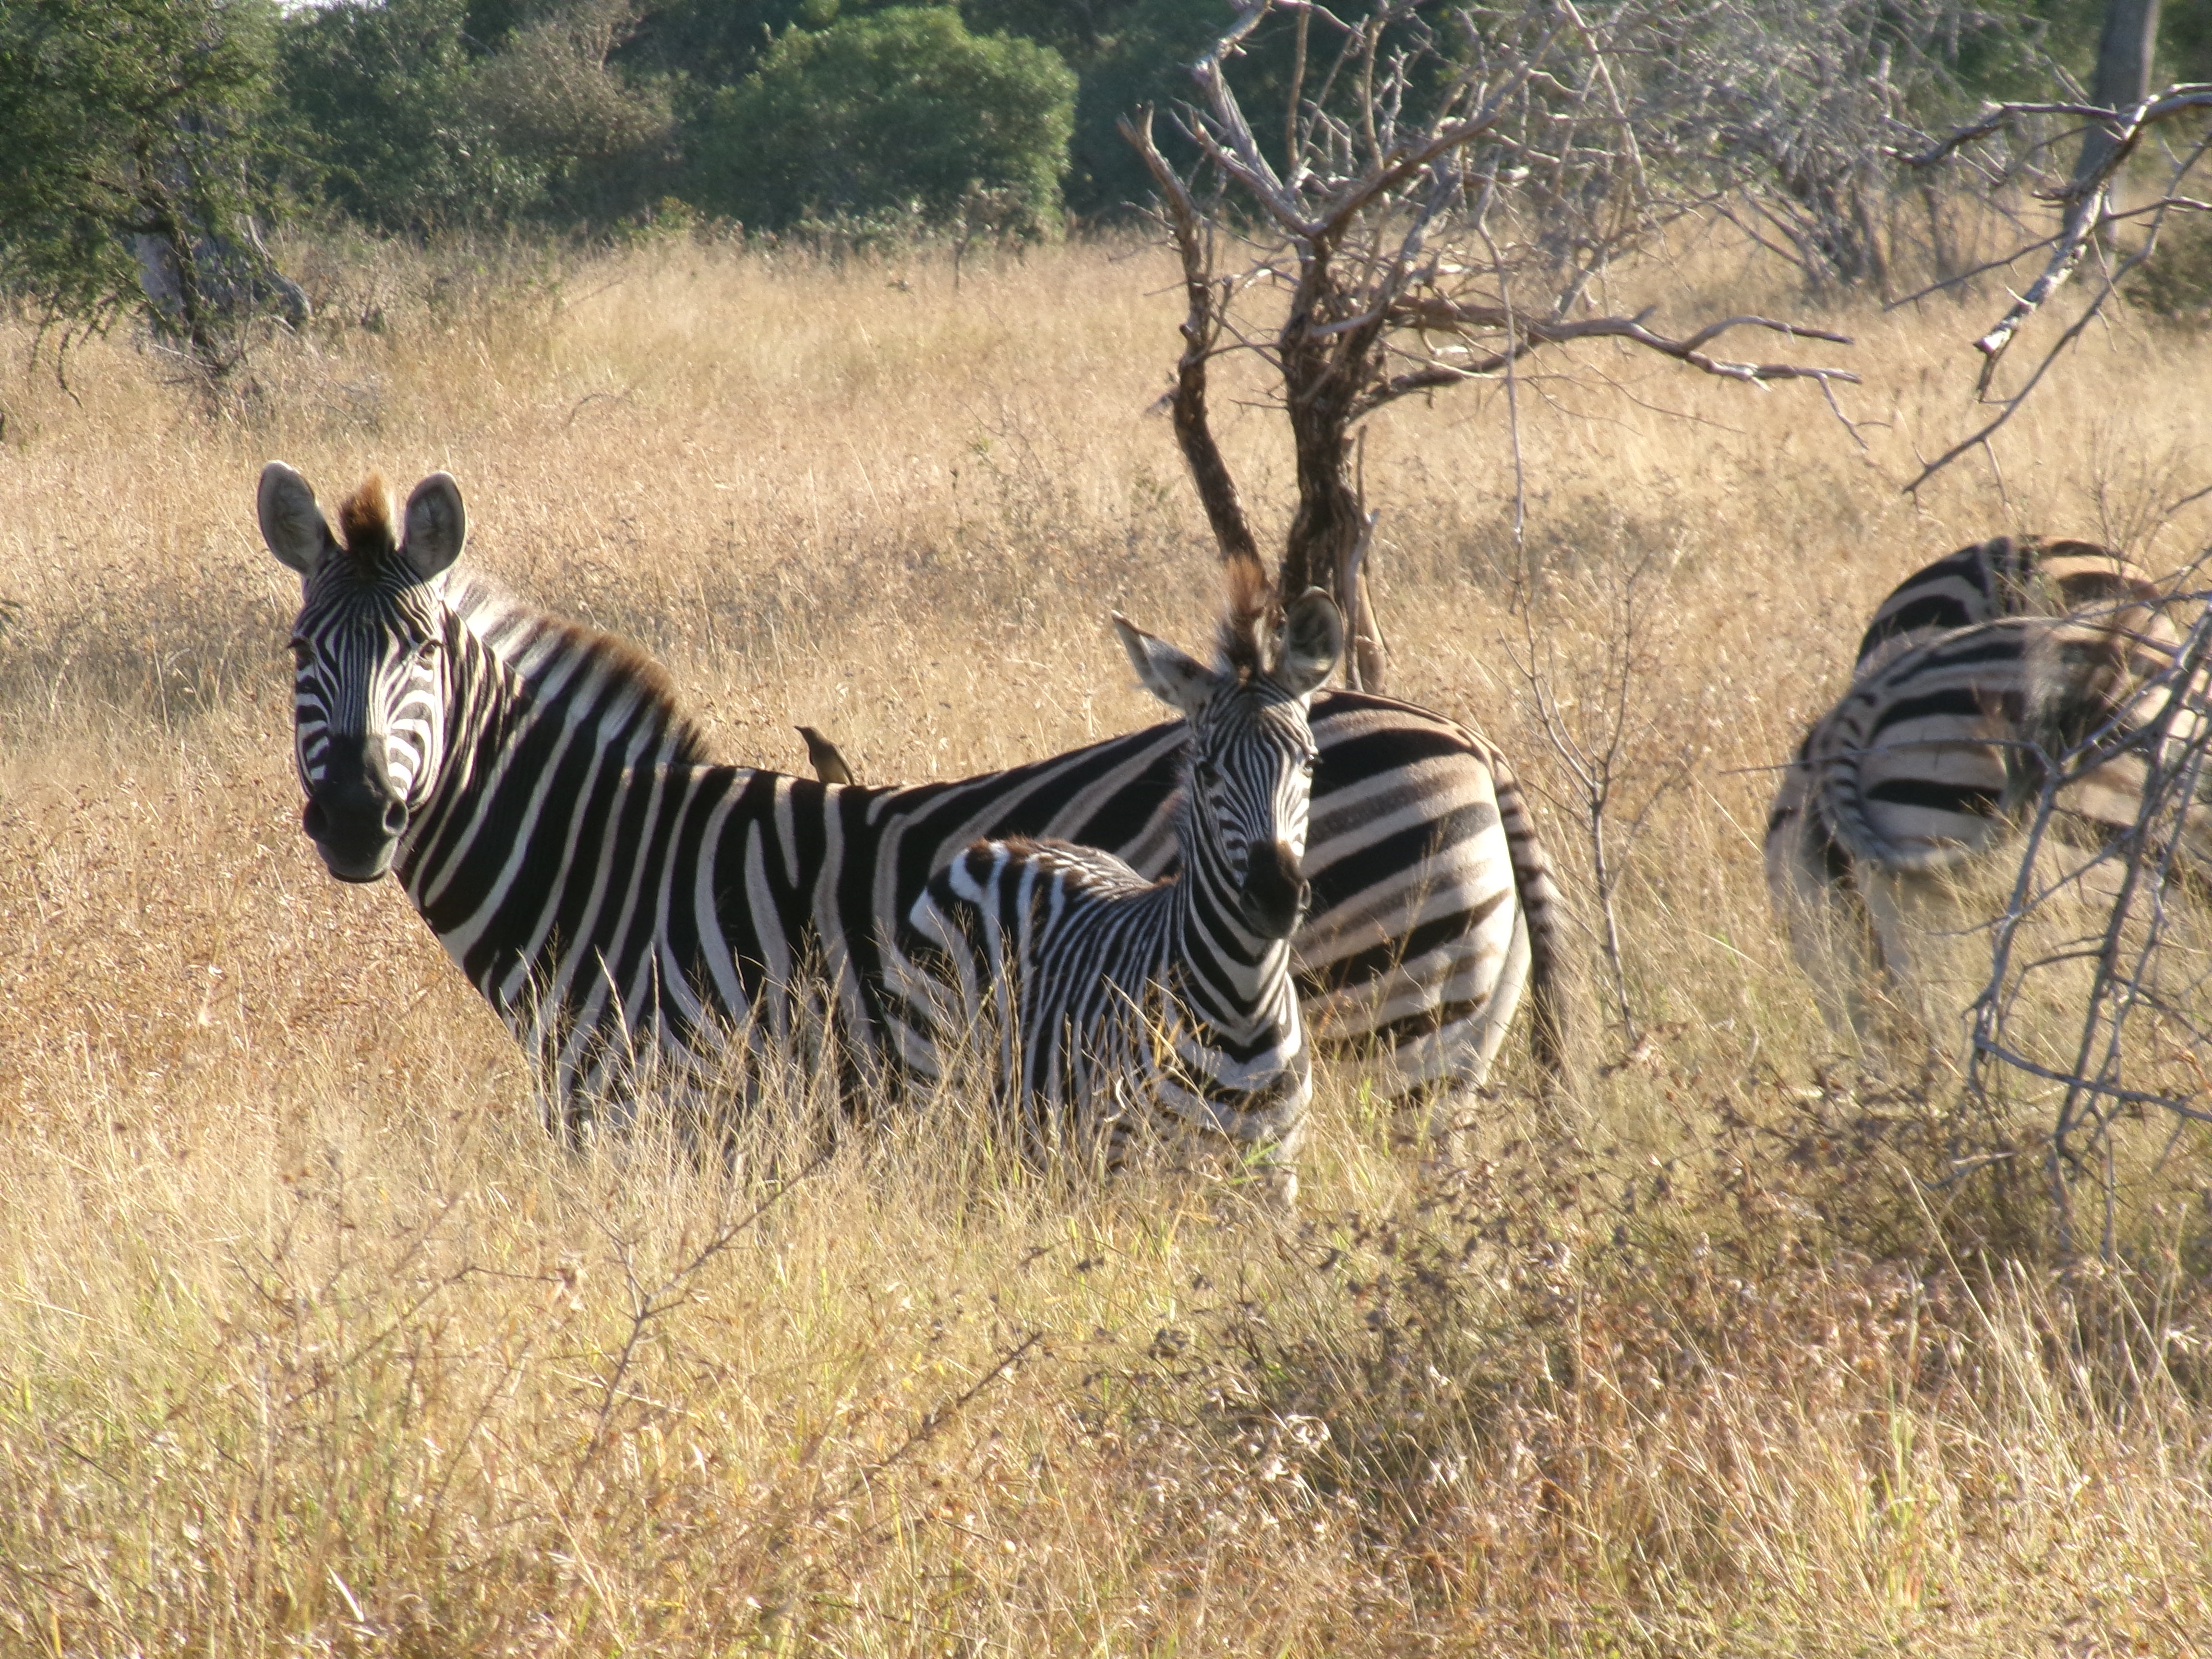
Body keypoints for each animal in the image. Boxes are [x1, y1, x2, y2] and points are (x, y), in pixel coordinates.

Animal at [261, 462, 1566, 1127]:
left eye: (424, 649)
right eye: (298, 652)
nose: (356, 818)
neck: (609, 868)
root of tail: (1469, 743)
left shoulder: (665, 1112)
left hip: (1396, 1043)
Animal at [889, 581, 1341, 1192]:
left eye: (1311, 762)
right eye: (1205, 770)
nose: (1275, 898)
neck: (1245, 1008)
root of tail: (1000, 845)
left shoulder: (1275, 1175)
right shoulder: (1130, 1165)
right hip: (934, 1078)